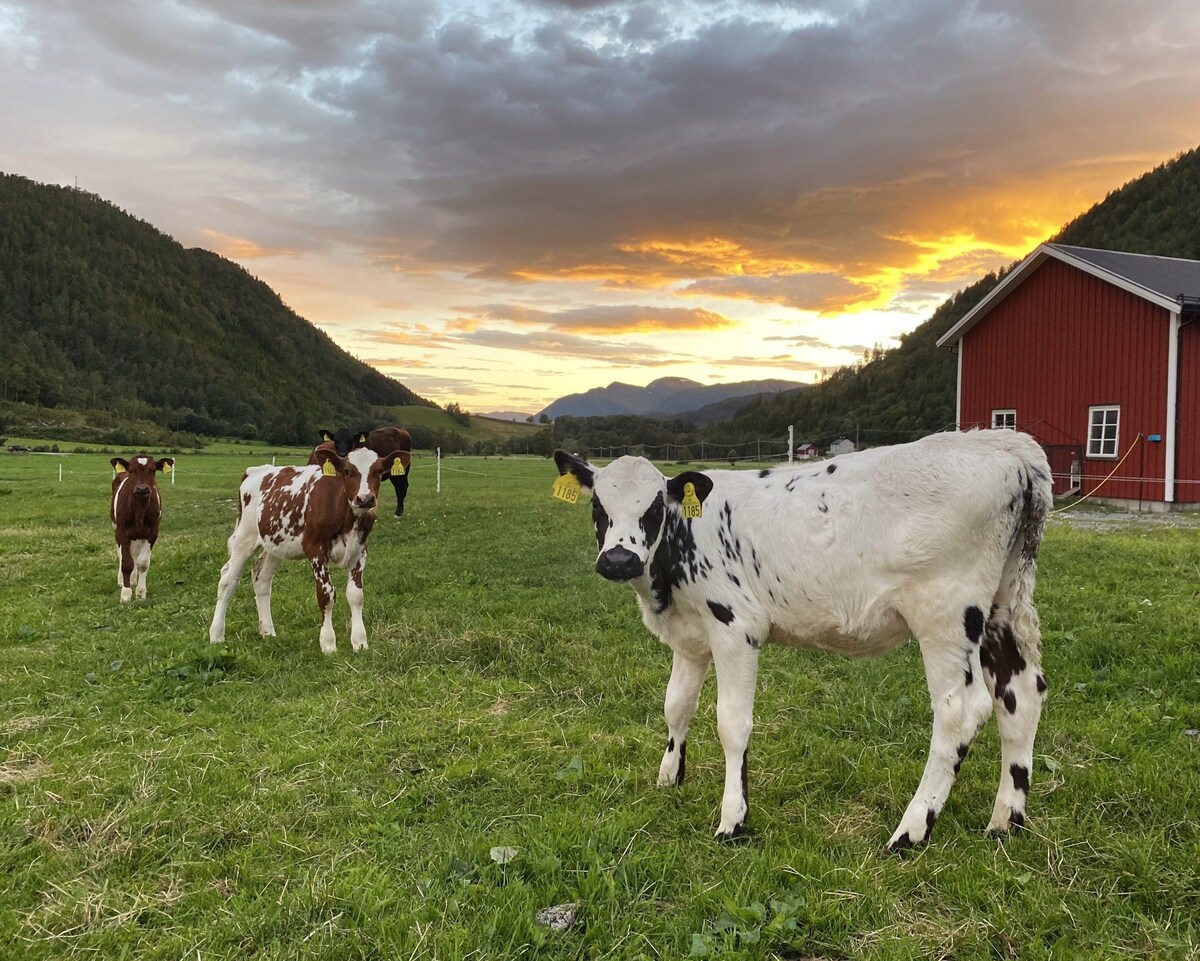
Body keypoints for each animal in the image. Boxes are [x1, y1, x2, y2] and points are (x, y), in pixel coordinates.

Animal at [109, 455, 174, 599]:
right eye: (132, 470)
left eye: (153, 470)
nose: (142, 489)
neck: (139, 510)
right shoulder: (122, 531)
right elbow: (126, 562)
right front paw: (126, 594)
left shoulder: (153, 532)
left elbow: (142, 563)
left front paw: (140, 593)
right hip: (116, 528)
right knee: (121, 554)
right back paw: (122, 580)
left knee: (134, 555)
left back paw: (133, 579)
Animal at [204, 441, 396, 652]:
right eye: (347, 471)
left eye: (379, 471)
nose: (365, 499)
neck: (347, 517)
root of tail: (255, 470)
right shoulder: (316, 550)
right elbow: (326, 595)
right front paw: (328, 644)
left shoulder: (360, 550)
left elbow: (356, 595)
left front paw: (360, 642)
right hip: (245, 538)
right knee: (227, 580)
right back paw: (216, 634)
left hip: (275, 544)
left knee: (261, 577)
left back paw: (267, 631)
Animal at [552, 429, 1051, 849]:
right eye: (598, 508)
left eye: (654, 507)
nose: (619, 560)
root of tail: (1006, 444)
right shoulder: (690, 638)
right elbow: (676, 706)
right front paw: (669, 777)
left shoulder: (735, 626)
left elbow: (732, 723)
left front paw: (733, 819)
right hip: (1002, 605)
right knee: (1020, 696)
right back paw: (1006, 820)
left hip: (946, 615)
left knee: (960, 712)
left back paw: (911, 830)